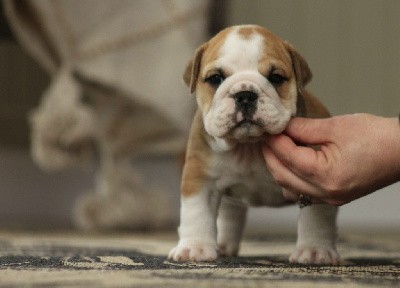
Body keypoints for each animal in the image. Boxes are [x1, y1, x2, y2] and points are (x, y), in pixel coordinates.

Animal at [169, 25, 340, 266]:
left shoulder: (315, 181)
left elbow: (316, 217)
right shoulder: (200, 178)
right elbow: (196, 212)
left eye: (276, 77)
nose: (245, 95)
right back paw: (223, 245)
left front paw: (315, 250)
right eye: (215, 78)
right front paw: (195, 247)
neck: (248, 147)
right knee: (230, 214)